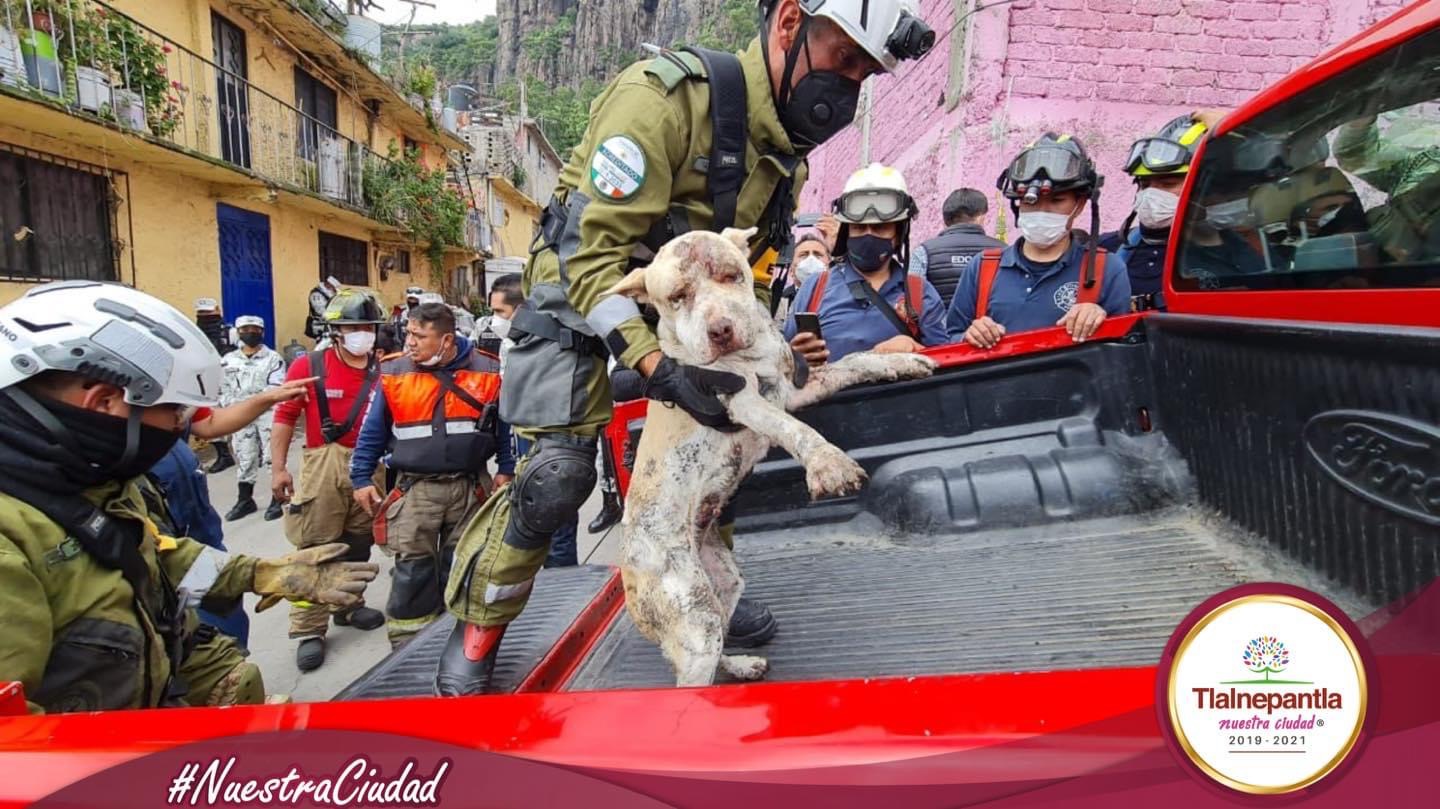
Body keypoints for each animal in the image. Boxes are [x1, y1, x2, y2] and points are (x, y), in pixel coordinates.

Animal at [604, 228, 933, 685]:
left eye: (730, 275)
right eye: (677, 296)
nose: (721, 329)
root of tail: (628, 573)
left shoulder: (794, 389)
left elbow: (854, 362)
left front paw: (900, 361)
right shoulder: (743, 402)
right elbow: (796, 431)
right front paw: (829, 464)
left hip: (723, 585)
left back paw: (741, 665)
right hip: (694, 615)